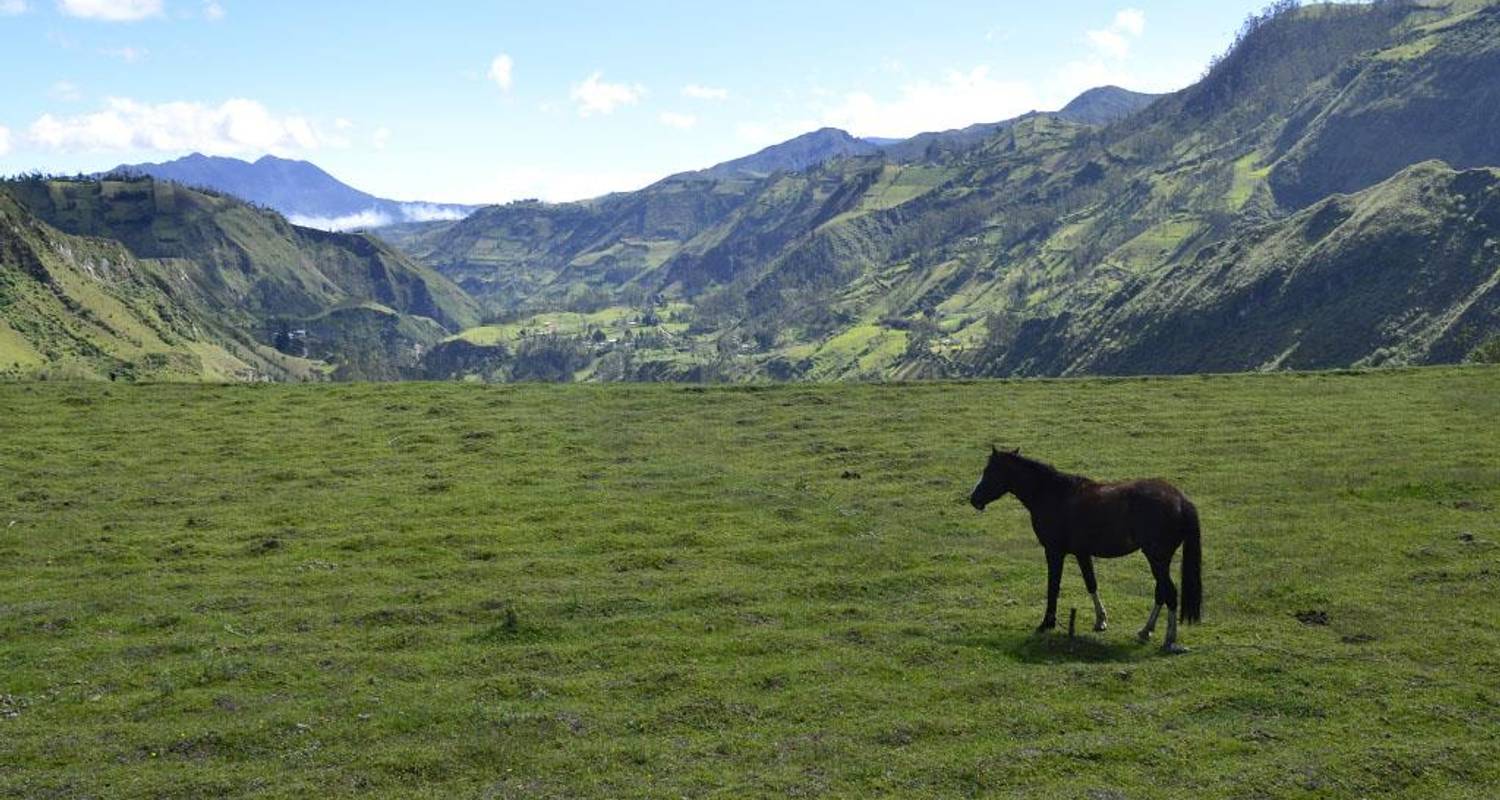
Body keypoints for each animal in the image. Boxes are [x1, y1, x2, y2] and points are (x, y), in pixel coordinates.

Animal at [966, 447, 1200, 651]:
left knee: (1169, 593)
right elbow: (1091, 583)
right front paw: (1101, 620)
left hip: (1157, 559)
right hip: (1159, 560)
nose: (973, 499)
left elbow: (1053, 586)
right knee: (1161, 593)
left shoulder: (1054, 552)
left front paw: (1046, 623)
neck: (1053, 494)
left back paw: (1169, 639)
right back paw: (1146, 630)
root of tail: (1181, 500)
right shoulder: (1082, 553)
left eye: (989, 471)